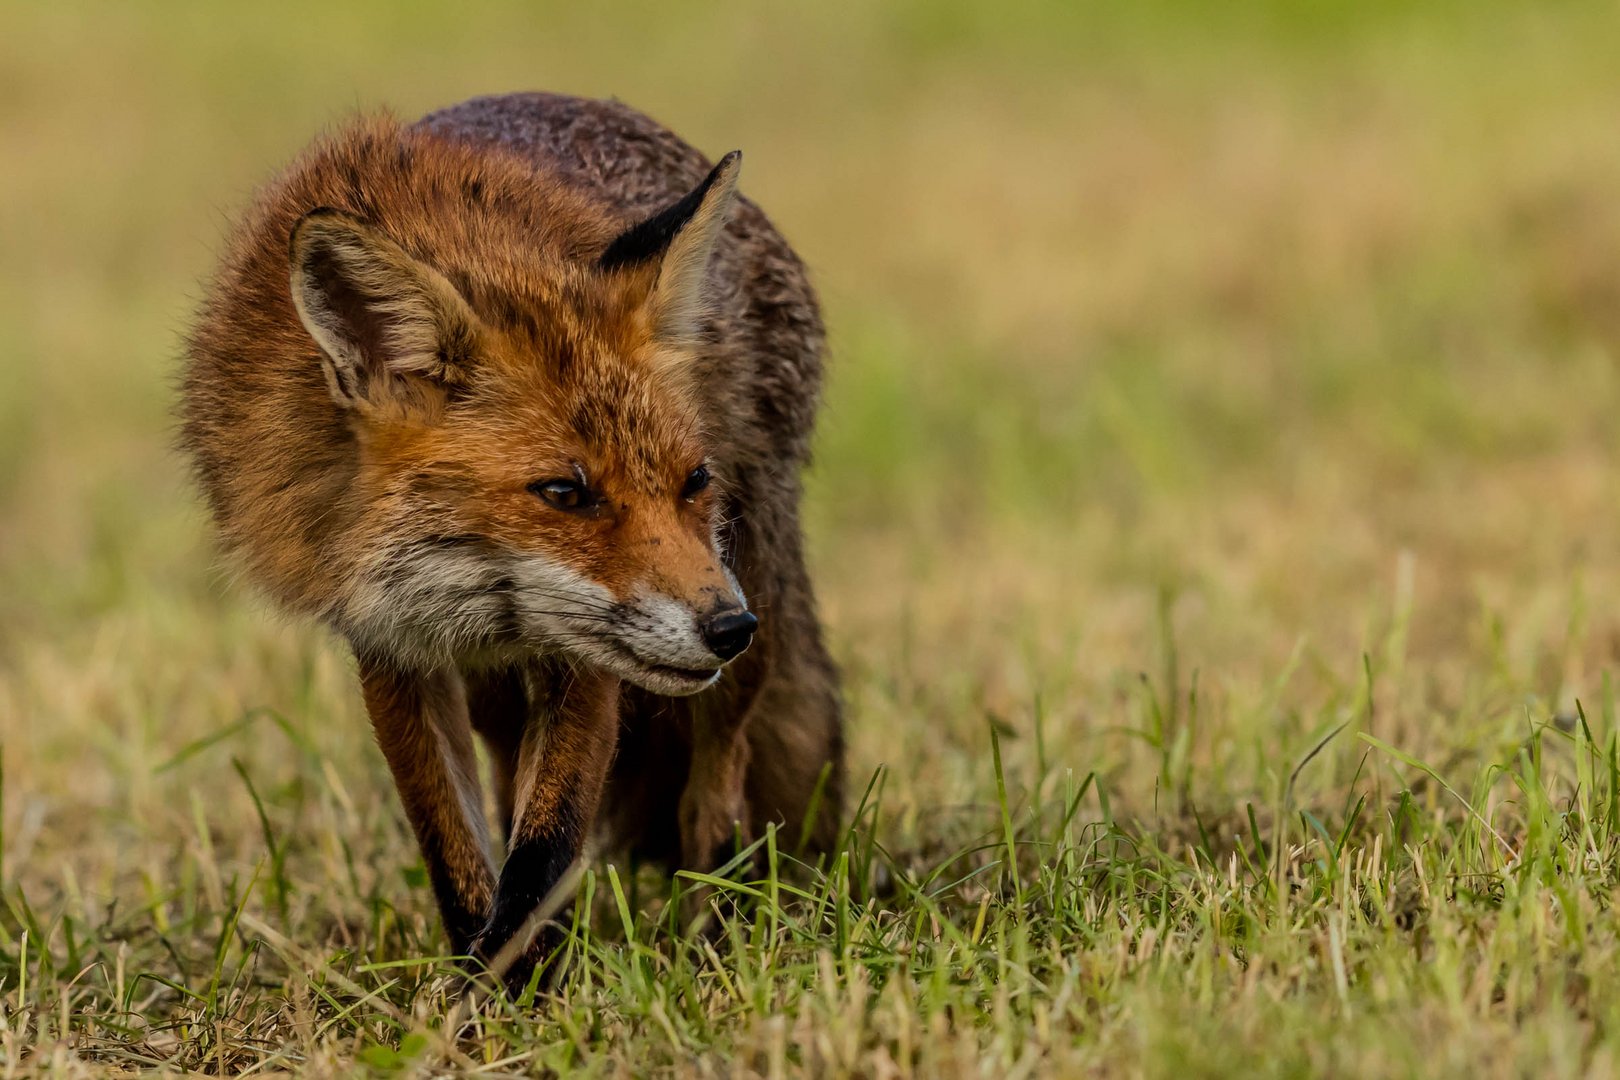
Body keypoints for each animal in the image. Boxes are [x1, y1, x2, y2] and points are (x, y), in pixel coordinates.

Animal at [182, 93, 848, 990]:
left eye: (692, 480)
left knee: (712, 792)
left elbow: (545, 846)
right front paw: (487, 982)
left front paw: (511, 991)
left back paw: (716, 927)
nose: (725, 628)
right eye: (565, 493)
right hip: (504, 701)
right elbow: (460, 854)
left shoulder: (590, 656)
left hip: (748, 621)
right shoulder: (392, 646)